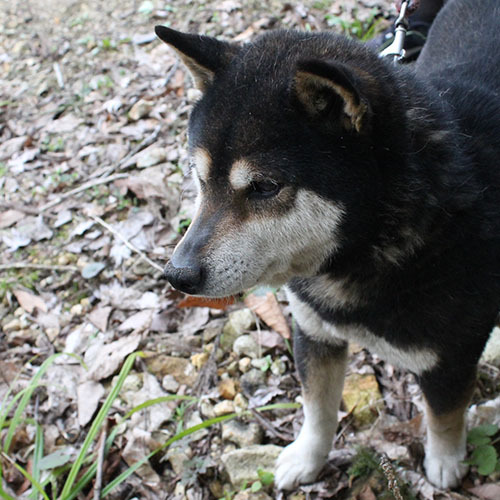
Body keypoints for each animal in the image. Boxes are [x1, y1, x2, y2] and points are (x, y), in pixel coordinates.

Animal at [156, 0, 500, 490]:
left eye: (264, 187)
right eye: (200, 179)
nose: (178, 275)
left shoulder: (449, 360)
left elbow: (444, 417)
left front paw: (445, 462)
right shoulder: (314, 332)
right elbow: (317, 410)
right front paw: (307, 458)